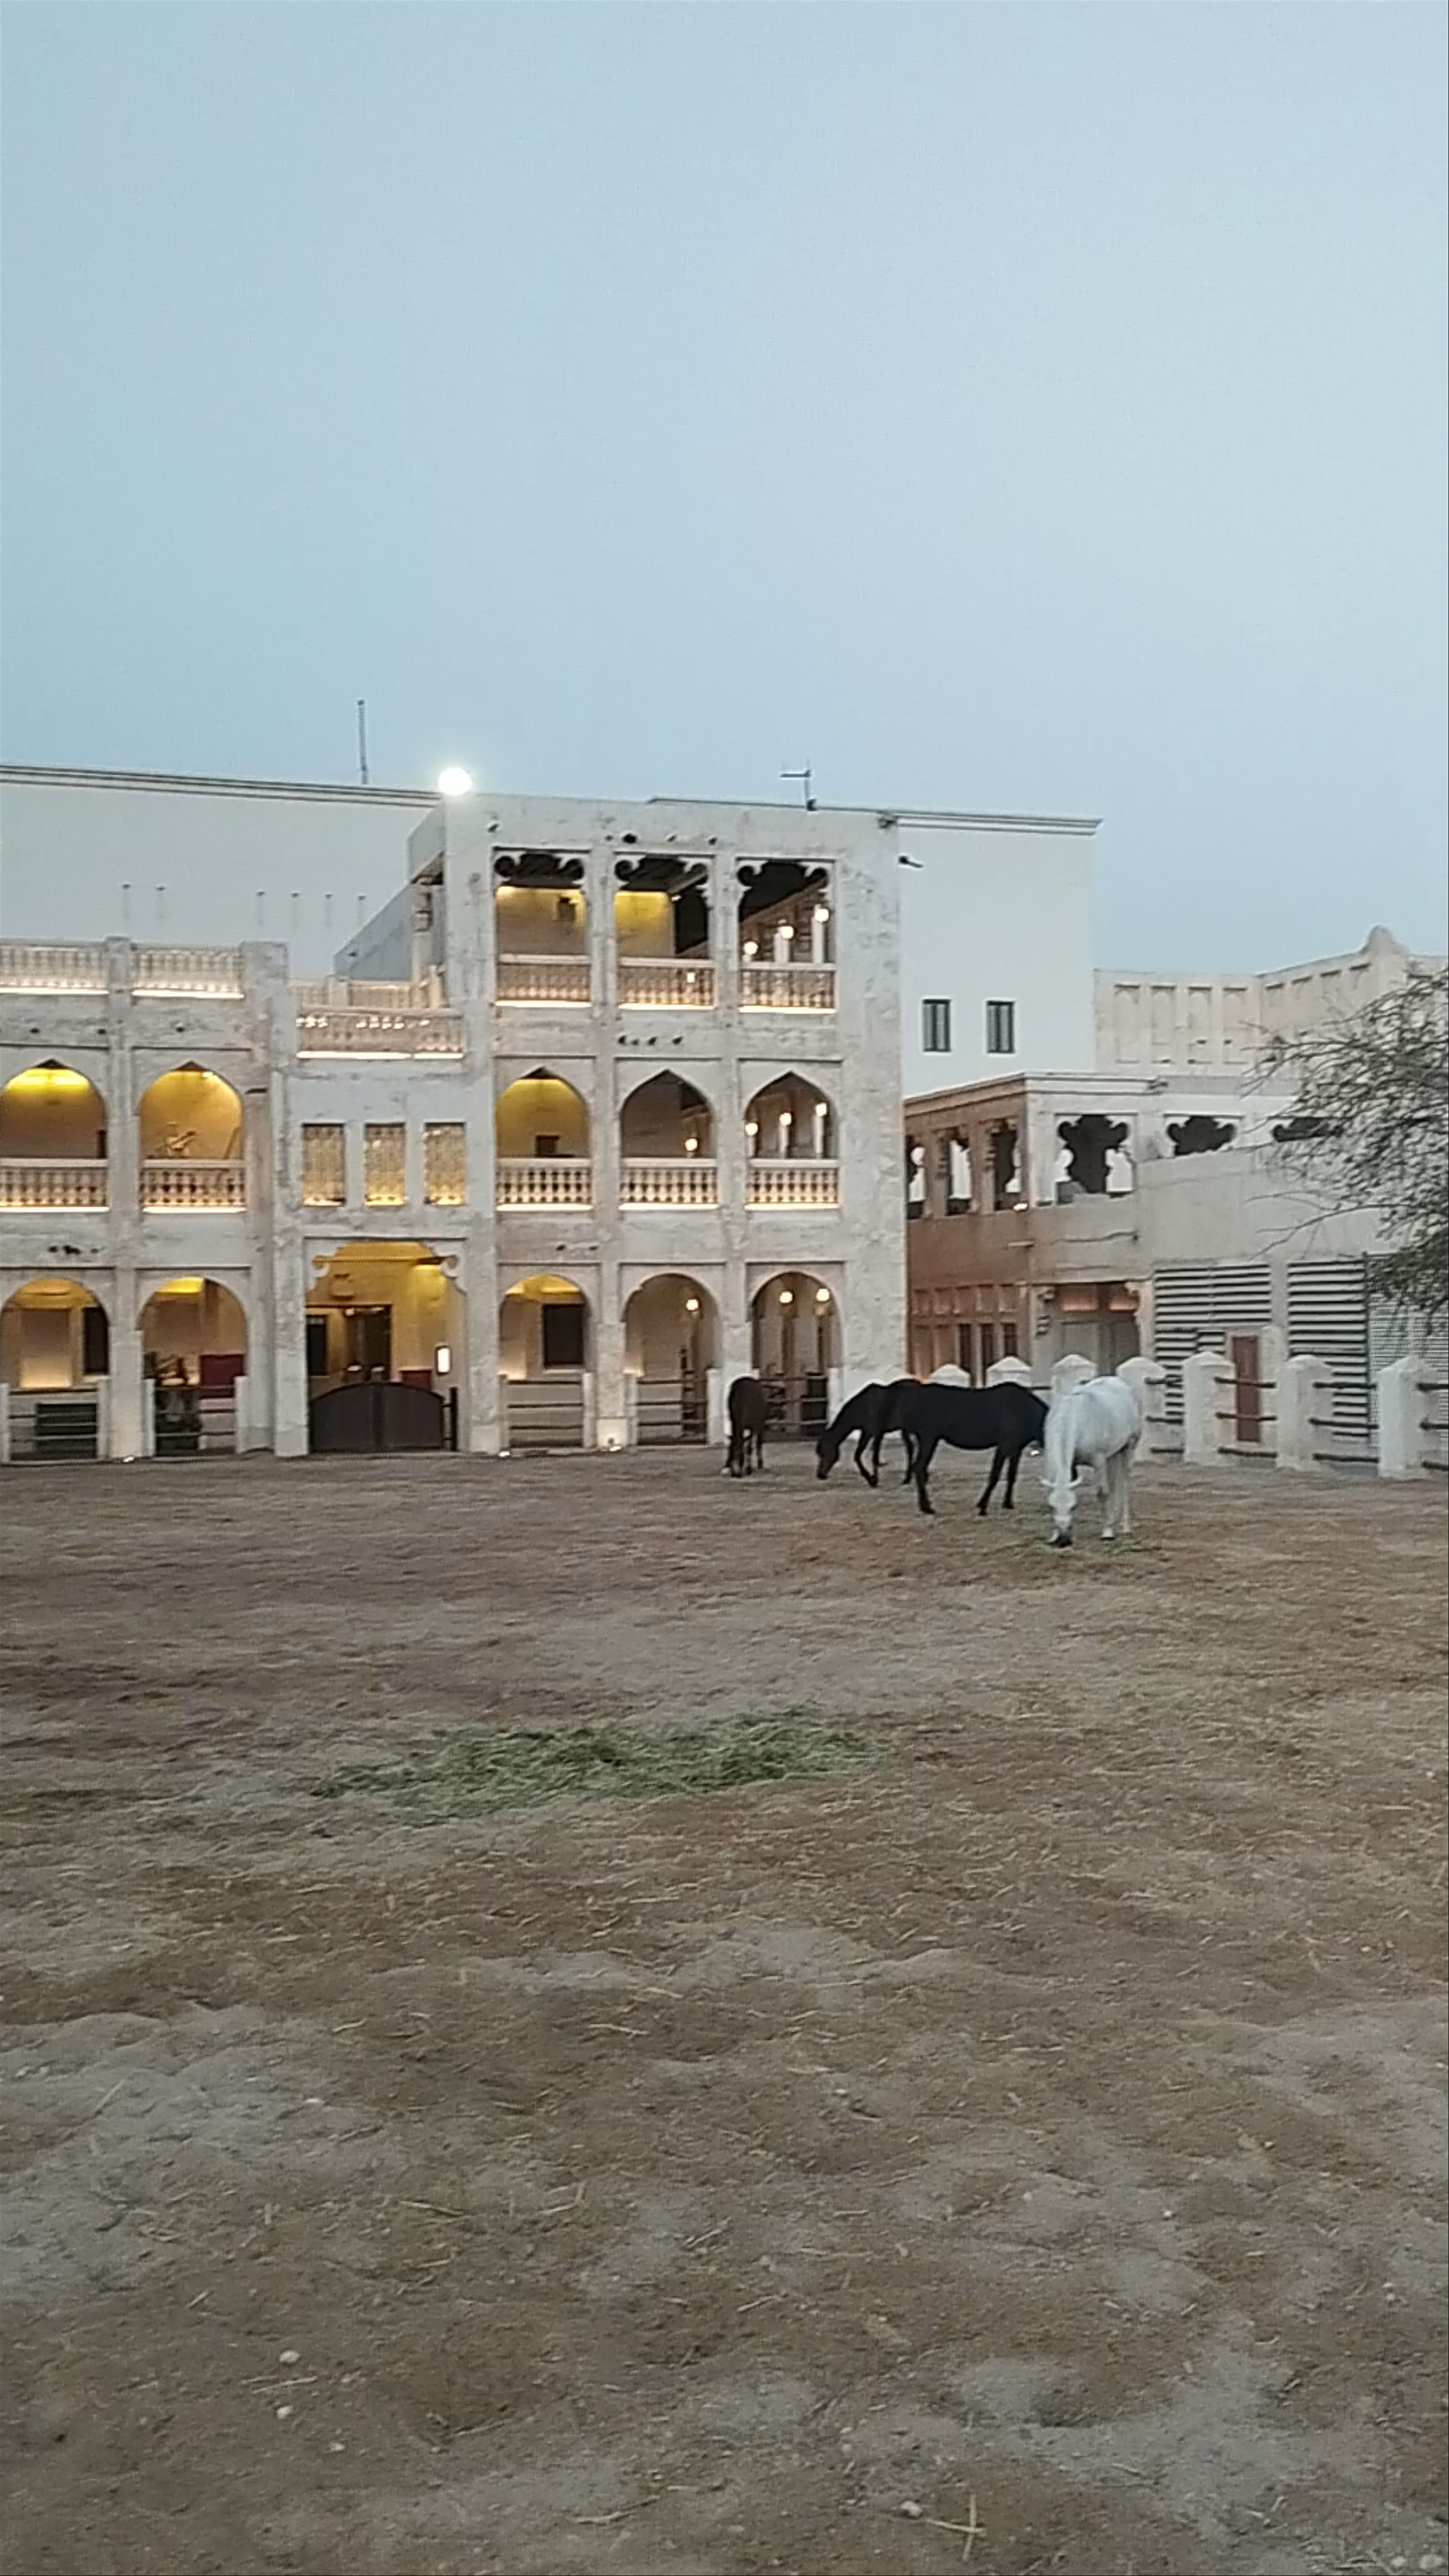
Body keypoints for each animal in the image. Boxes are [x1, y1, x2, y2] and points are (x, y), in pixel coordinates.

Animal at [726, 1375, 769, 1477]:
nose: (734, 1474)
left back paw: (760, 1465)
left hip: (759, 1424)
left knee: (759, 1443)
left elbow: (749, 1448)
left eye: (737, 1453)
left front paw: (748, 1469)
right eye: (729, 1453)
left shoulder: (753, 1426)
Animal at [815, 1379, 919, 1487]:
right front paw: (870, 1479)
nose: (820, 1475)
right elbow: (858, 1456)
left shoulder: (876, 1433)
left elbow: (874, 1457)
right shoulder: (866, 1433)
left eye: (825, 1452)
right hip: (905, 1429)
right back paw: (907, 1479)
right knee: (910, 1448)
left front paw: (874, 1480)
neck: (865, 1406)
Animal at [896, 1381, 1049, 1518]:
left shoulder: (1016, 1449)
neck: (1024, 1411)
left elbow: (1012, 1476)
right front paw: (983, 1507)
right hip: (929, 1438)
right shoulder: (1005, 1446)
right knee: (919, 1468)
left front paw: (1008, 1504)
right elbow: (995, 1476)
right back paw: (927, 1508)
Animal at [1041, 1374, 1144, 1546]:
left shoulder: (1099, 1461)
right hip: (1113, 1454)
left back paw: (1125, 1527)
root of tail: (1120, 1383)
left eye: (1073, 1507)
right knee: (1114, 1484)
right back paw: (1114, 1519)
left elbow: (1102, 1493)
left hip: (1129, 1448)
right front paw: (1054, 1535)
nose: (1064, 1539)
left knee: (1125, 1484)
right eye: (1052, 1507)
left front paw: (1107, 1532)